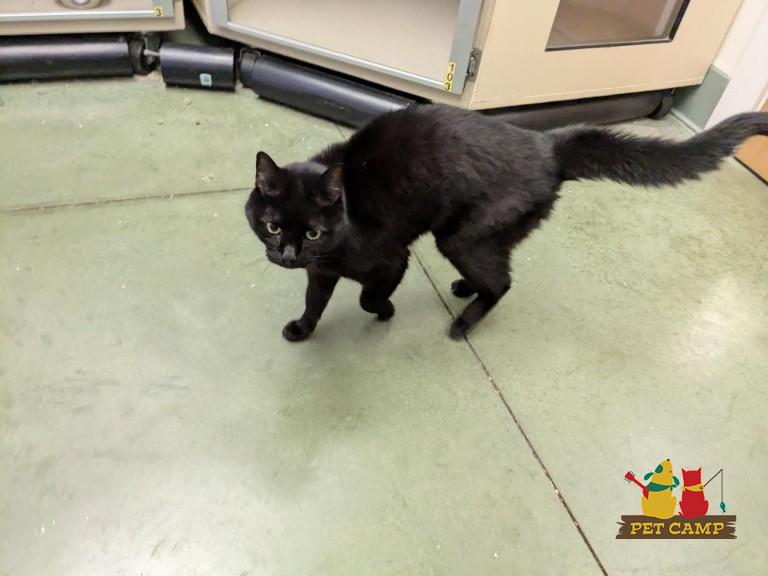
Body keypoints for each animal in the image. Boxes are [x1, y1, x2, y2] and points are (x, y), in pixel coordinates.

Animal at [244, 104, 767, 342]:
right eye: (273, 227)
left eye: (313, 231)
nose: (287, 255)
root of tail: (547, 145)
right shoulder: (320, 272)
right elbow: (315, 301)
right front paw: (302, 329)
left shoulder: (392, 258)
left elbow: (369, 294)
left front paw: (384, 311)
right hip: (480, 236)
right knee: (497, 271)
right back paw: (463, 290)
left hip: (460, 236)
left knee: (503, 283)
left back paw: (462, 324)